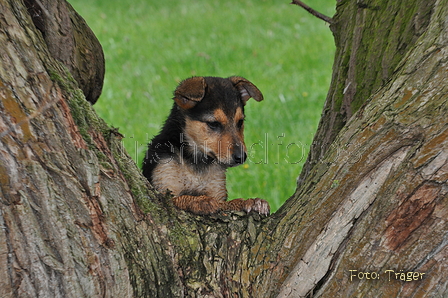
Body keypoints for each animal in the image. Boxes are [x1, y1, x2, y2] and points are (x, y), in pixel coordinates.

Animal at [144, 75, 270, 215]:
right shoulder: (164, 190)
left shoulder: (217, 190)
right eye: (213, 124)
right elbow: (181, 198)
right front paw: (200, 200)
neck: (196, 161)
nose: (241, 157)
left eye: (240, 122)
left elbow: (226, 204)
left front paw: (251, 202)